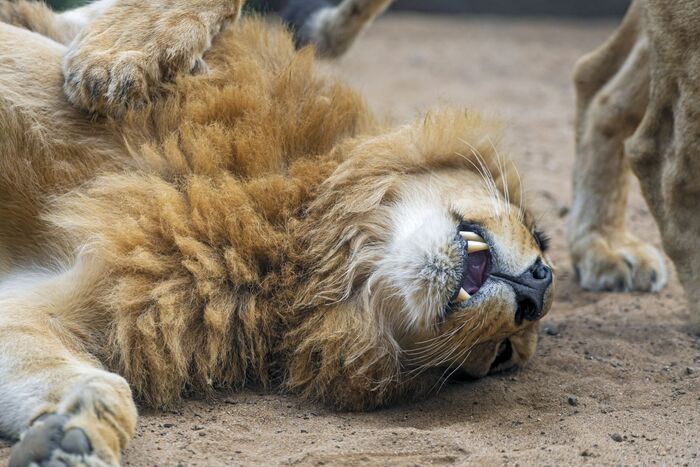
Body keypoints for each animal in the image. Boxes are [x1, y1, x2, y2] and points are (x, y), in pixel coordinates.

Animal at [0, 0, 554, 465]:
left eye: (498, 357)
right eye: (540, 235)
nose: (539, 288)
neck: (293, 232)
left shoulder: (79, 301)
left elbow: (91, 379)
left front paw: (71, 435)